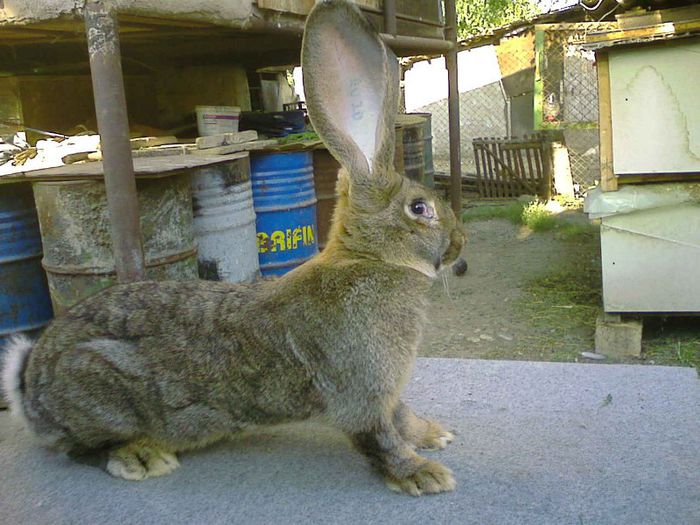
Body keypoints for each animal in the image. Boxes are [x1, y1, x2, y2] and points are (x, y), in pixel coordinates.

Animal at [2, 0, 464, 496]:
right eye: (419, 208)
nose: (459, 244)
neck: (369, 260)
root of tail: (30, 388)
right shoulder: (362, 389)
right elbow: (380, 437)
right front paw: (422, 475)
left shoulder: (388, 392)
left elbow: (401, 418)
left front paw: (434, 435)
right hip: (98, 389)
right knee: (78, 448)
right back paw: (142, 457)